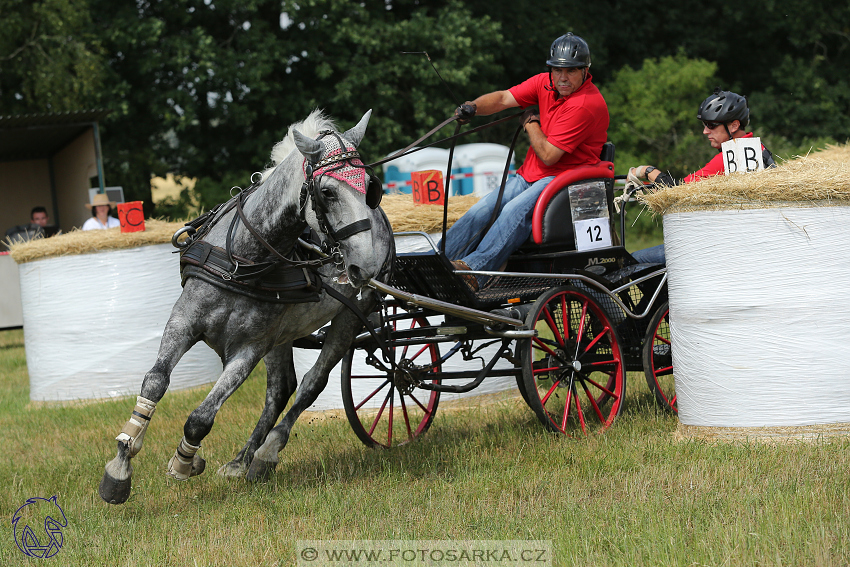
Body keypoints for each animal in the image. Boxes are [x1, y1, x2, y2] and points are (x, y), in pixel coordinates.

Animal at [98, 111, 394, 506]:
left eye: (371, 188)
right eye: (328, 192)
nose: (367, 265)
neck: (243, 258)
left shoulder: (248, 349)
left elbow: (201, 417)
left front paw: (185, 461)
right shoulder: (183, 322)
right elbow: (155, 382)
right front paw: (121, 463)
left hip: (346, 319)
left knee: (309, 386)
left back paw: (266, 453)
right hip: (282, 335)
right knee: (281, 388)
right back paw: (242, 460)